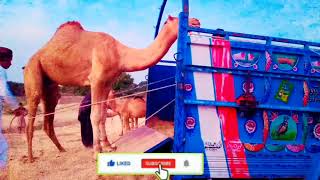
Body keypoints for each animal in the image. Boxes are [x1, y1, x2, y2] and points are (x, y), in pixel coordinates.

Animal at [23, 15, 200, 162]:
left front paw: (108, 146)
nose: (196, 21)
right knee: (31, 113)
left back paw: (62, 149)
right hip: (33, 71)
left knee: (48, 117)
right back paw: (30, 157)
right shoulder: (96, 80)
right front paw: (96, 152)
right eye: (178, 19)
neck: (119, 54)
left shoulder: (107, 82)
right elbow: (95, 115)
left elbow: (102, 115)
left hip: (51, 87)